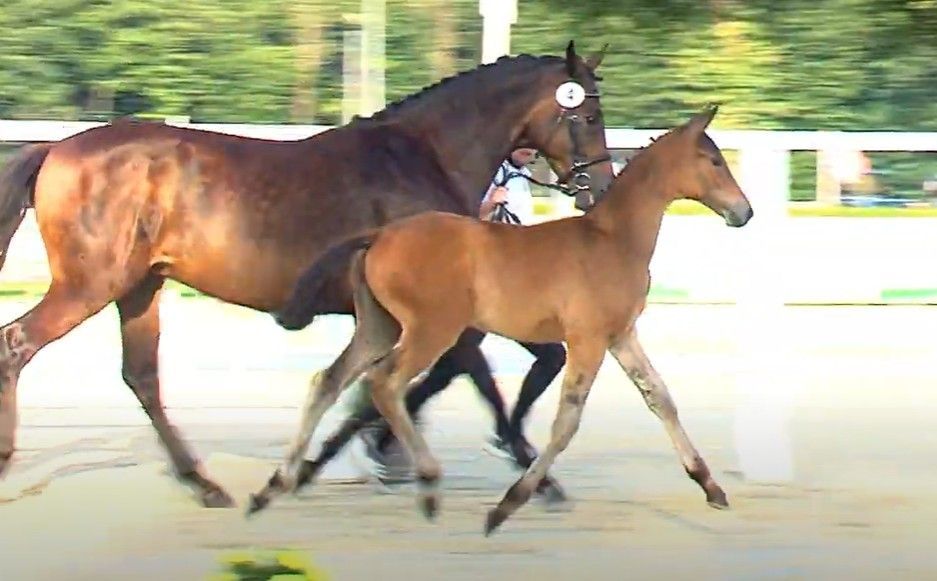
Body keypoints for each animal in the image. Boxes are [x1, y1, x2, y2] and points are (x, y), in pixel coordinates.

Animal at [0, 41, 615, 507]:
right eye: (588, 115)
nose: (602, 189)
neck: (421, 158)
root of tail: (57, 147)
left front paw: (353, 452)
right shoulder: (436, 313)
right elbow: (470, 379)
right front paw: (533, 472)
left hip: (139, 286)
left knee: (142, 376)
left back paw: (204, 483)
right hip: (91, 284)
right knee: (18, 344)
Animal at [249, 105, 752, 535]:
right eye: (713, 161)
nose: (744, 212)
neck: (612, 239)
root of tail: (379, 235)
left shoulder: (621, 335)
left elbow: (660, 399)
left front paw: (711, 487)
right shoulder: (587, 339)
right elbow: (567, 422)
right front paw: (508, 505)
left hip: (379, 325)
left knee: (329, 381)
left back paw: (272, 488)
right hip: (431, 330)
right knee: (385, 384)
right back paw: (426, 483)